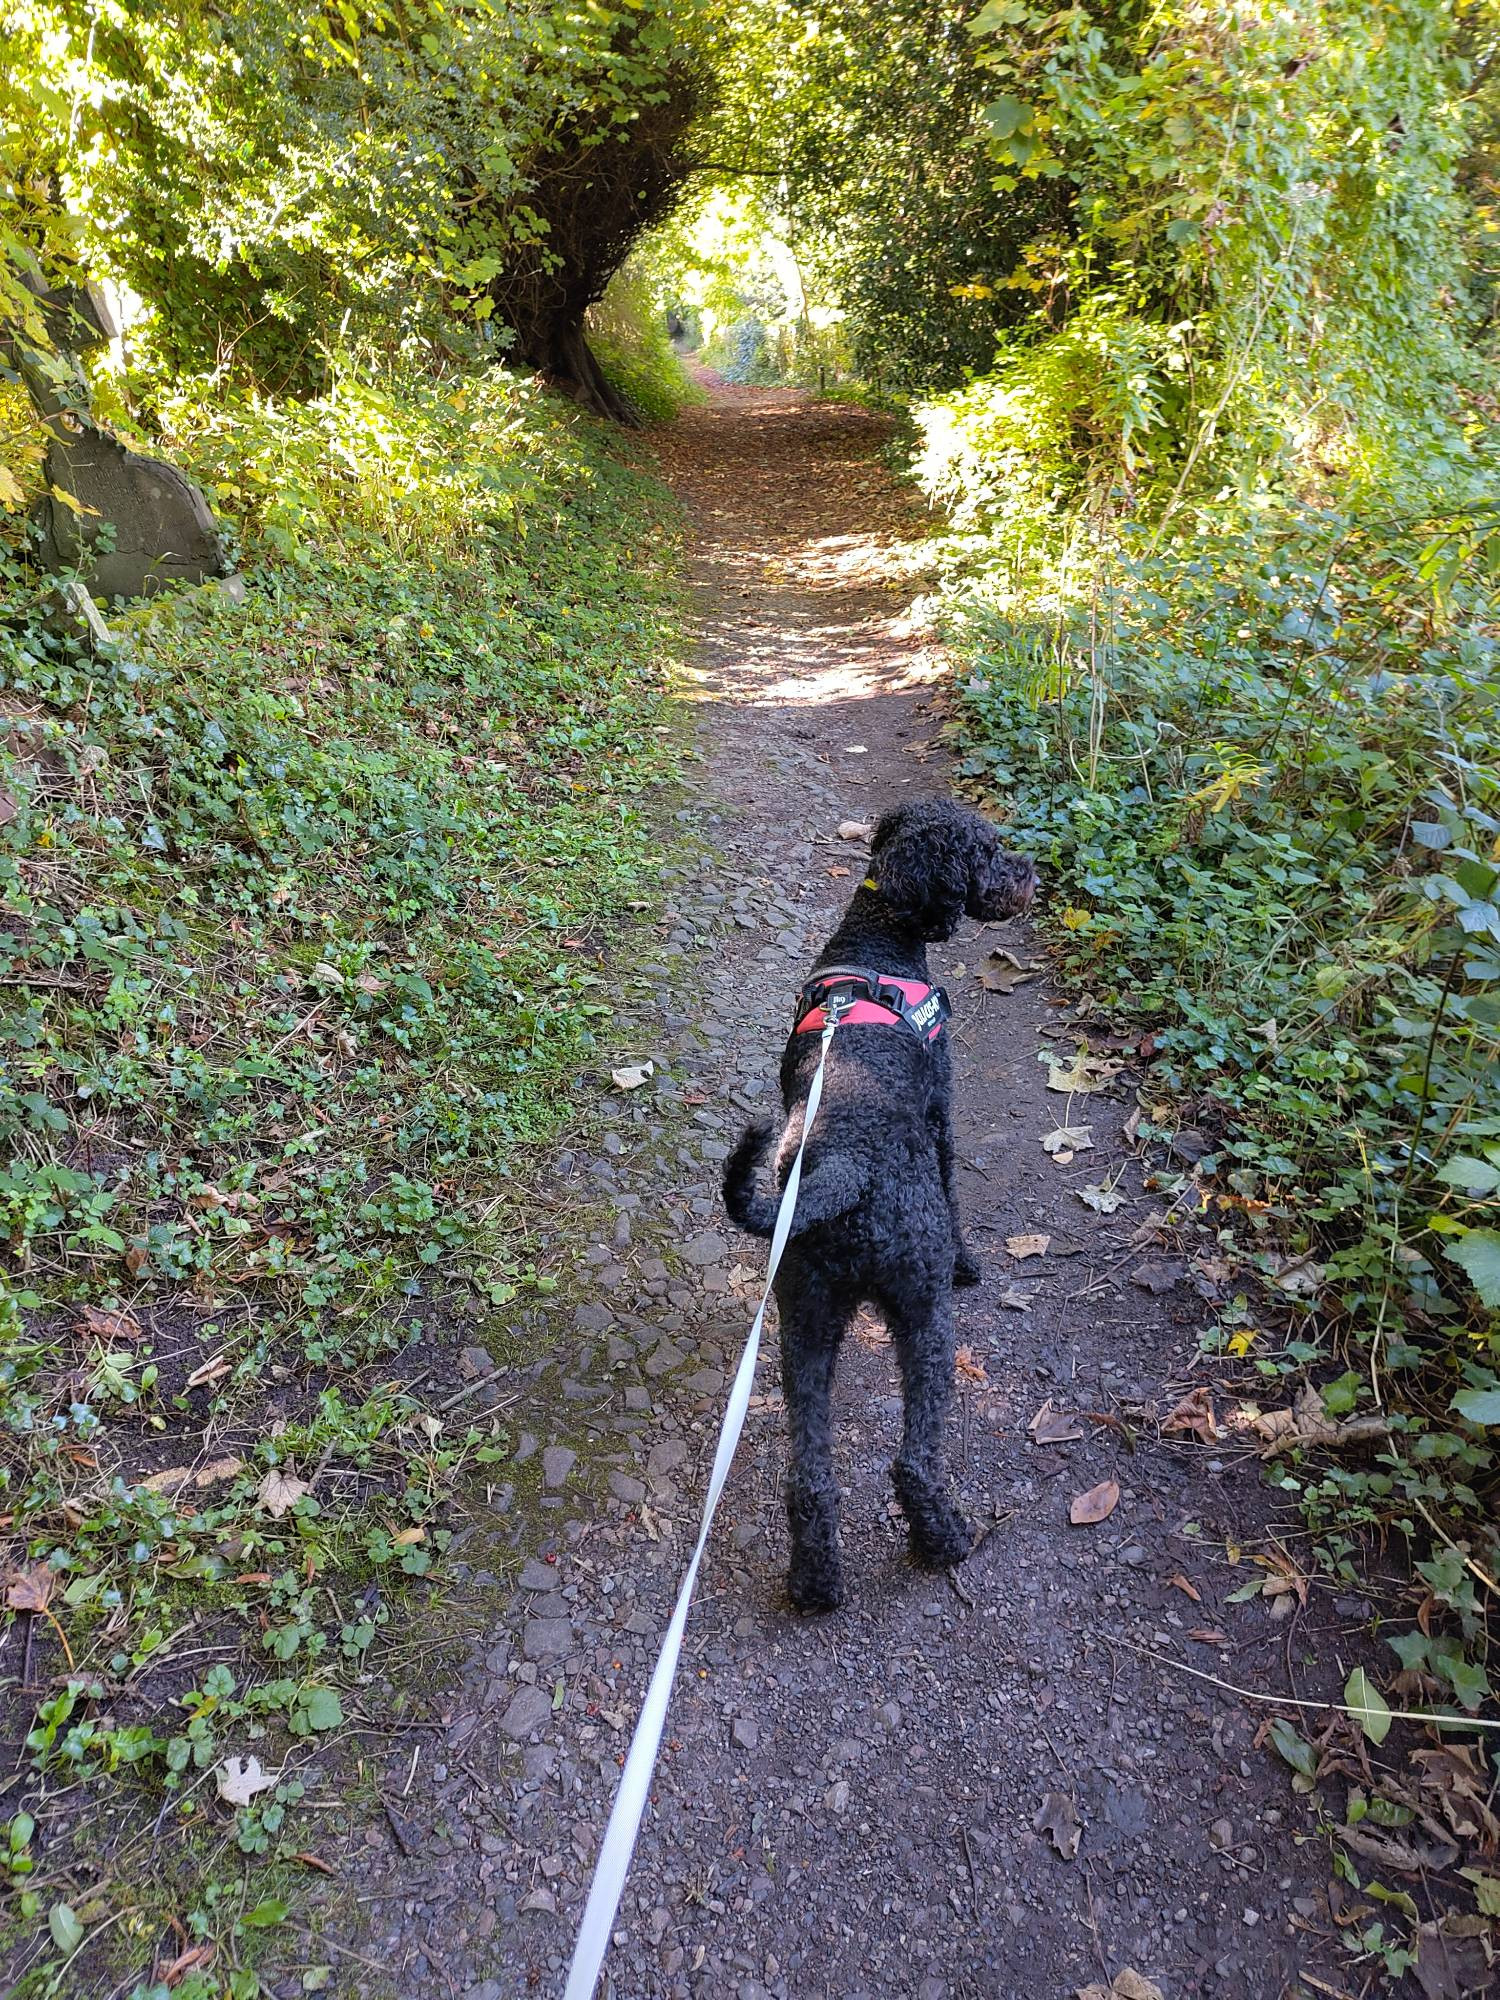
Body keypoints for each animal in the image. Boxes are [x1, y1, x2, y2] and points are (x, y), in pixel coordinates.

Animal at [724, 796, 1032, 1608]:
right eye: (988, 849)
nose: (1031, 871)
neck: (879, 938)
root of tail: (847, 1172)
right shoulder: (942, 1113)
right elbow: (956, 1193)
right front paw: (970, 1261)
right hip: (922, 1313)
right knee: (914, 1460)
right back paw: (946, 1540)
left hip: (804, 1320)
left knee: (809, 1478)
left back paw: (815, 1583)